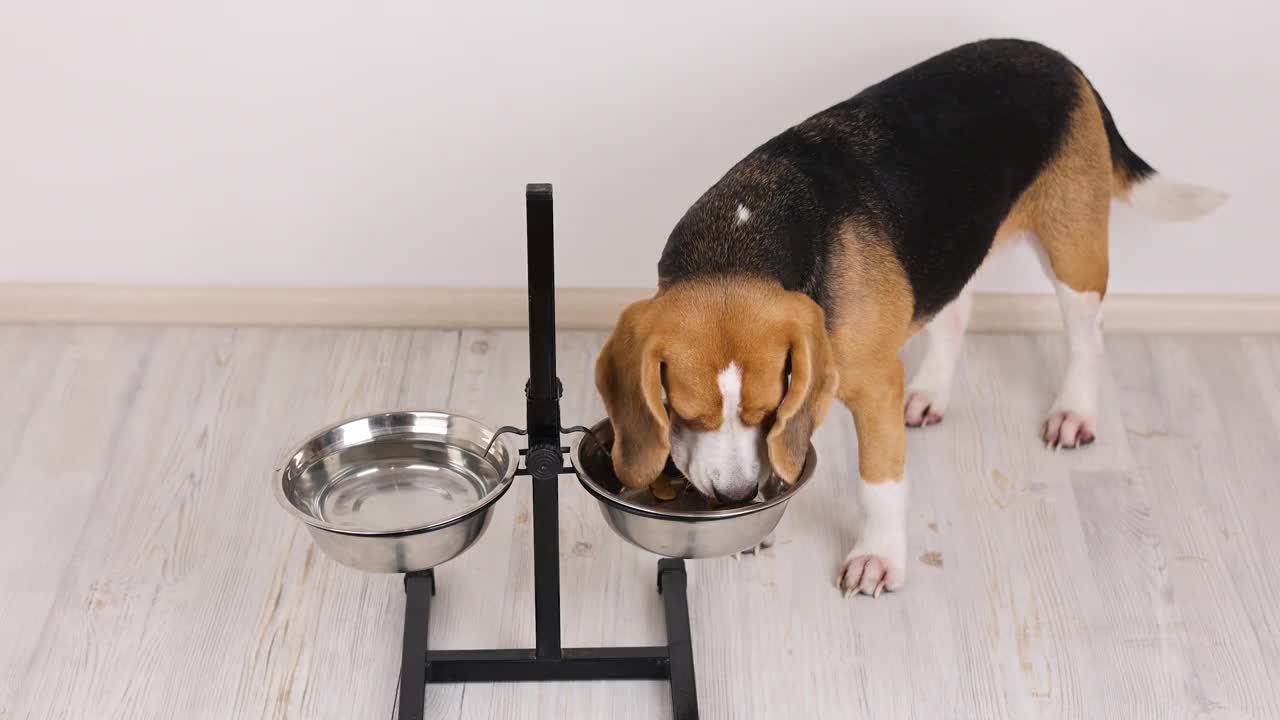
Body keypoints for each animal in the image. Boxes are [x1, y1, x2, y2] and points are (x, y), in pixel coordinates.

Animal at [593, 39, 1223, 597]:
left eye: (768, 409)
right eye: (682, 413)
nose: (736, 496)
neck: (741, 245)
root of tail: (1061, 61)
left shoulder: (873, 385)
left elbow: (879, 484)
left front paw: (877, 558)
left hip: (1073, 247)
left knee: (1087, 336)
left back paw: (1074, 411)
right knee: (956, 312)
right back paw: (931, 393)